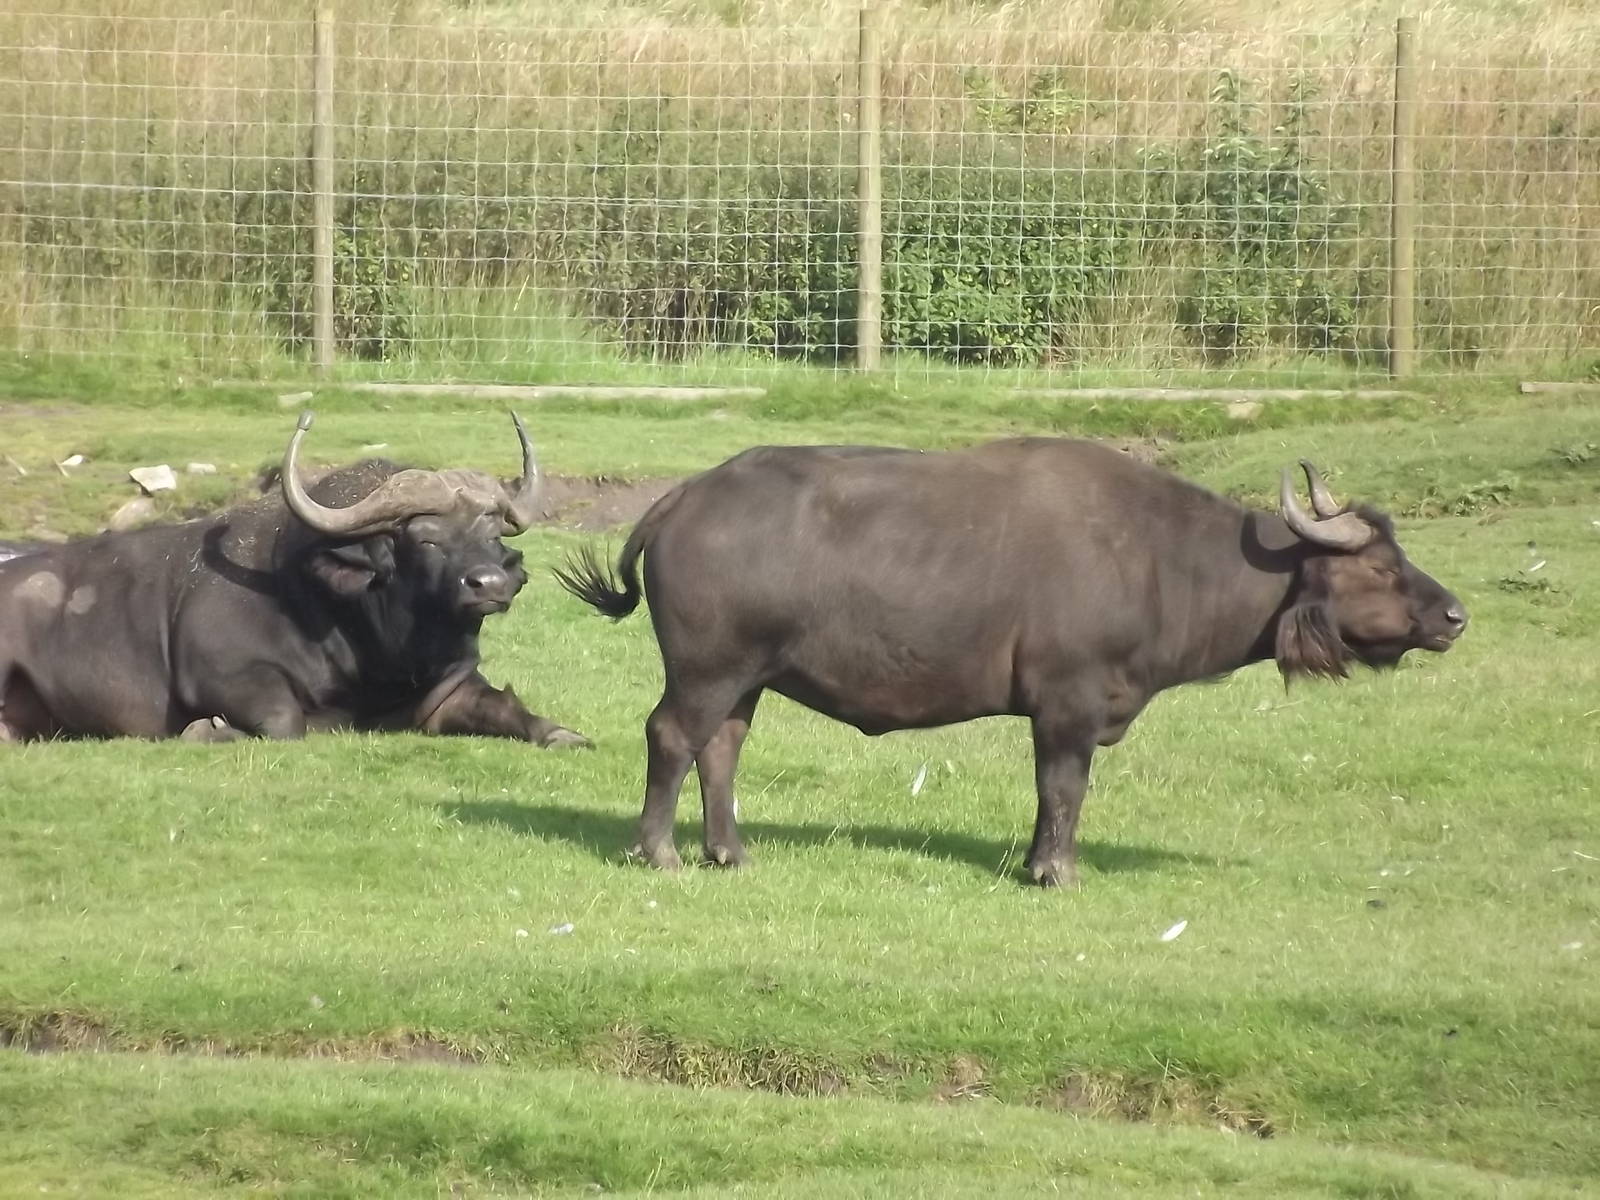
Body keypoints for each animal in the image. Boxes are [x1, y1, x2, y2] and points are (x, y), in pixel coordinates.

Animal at [0, 412, 588, 747]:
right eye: (425, 539)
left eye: (491, 531)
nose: (490, 584)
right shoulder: (221, 674)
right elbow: (286, 722)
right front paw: (209, 729)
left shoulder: (446, 689)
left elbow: (507, 707)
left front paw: (562, 732)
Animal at [558, 438, 1466, 885]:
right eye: (1381, 568)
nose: (1454, 614)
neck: (1161, 558)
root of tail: (686, 496)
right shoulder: (1068, 704)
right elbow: (1062, 790)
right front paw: (1055, 870)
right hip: (706, 671)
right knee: (672, 738)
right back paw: (659, 852)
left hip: (746, 679)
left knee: (721, 749)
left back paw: (730, 852)